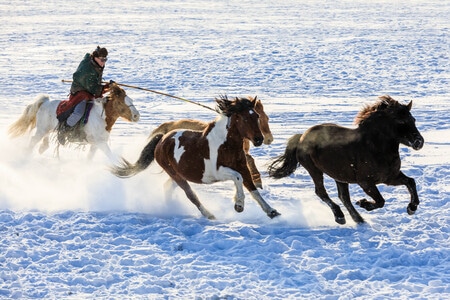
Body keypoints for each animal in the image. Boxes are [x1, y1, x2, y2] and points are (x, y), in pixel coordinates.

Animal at [7, 82, 140, 162]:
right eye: (121, 102)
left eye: (131, 100)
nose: (136, 116)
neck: (101, 117)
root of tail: (45, 102)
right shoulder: (101, 143)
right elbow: (112, 157)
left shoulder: (95, 145)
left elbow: (89, 158)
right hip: (41, 129)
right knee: (33, 140)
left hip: (47, 129)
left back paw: (42, 148)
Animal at [110, 96, 280, 220]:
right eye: (244, 118)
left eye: (256, 116)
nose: (259, 139)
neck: (226, 144)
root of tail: (162, 139)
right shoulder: (219, 172)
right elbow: (238, 178)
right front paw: (239, 205)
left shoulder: (243, 168)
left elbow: (253, 190)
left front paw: (272, 211)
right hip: (176, 175)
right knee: (191, 195)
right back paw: (209, 214)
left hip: (179, 174)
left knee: (167, 187)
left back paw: (170, 207)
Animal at [268, 96, 424, 225]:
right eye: (401, 121)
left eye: (413, 120)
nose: (419, 142)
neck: (375, 147)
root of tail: (301, 137)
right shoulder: (366, 182)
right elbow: (380, 201)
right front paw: (364, 203)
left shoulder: (390, 177)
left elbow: (410, 182)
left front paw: (411, 208)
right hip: (314, 170)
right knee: (321, 192)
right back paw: (340, 217)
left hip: (339, 176)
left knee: (343, 197)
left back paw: (358, 219)